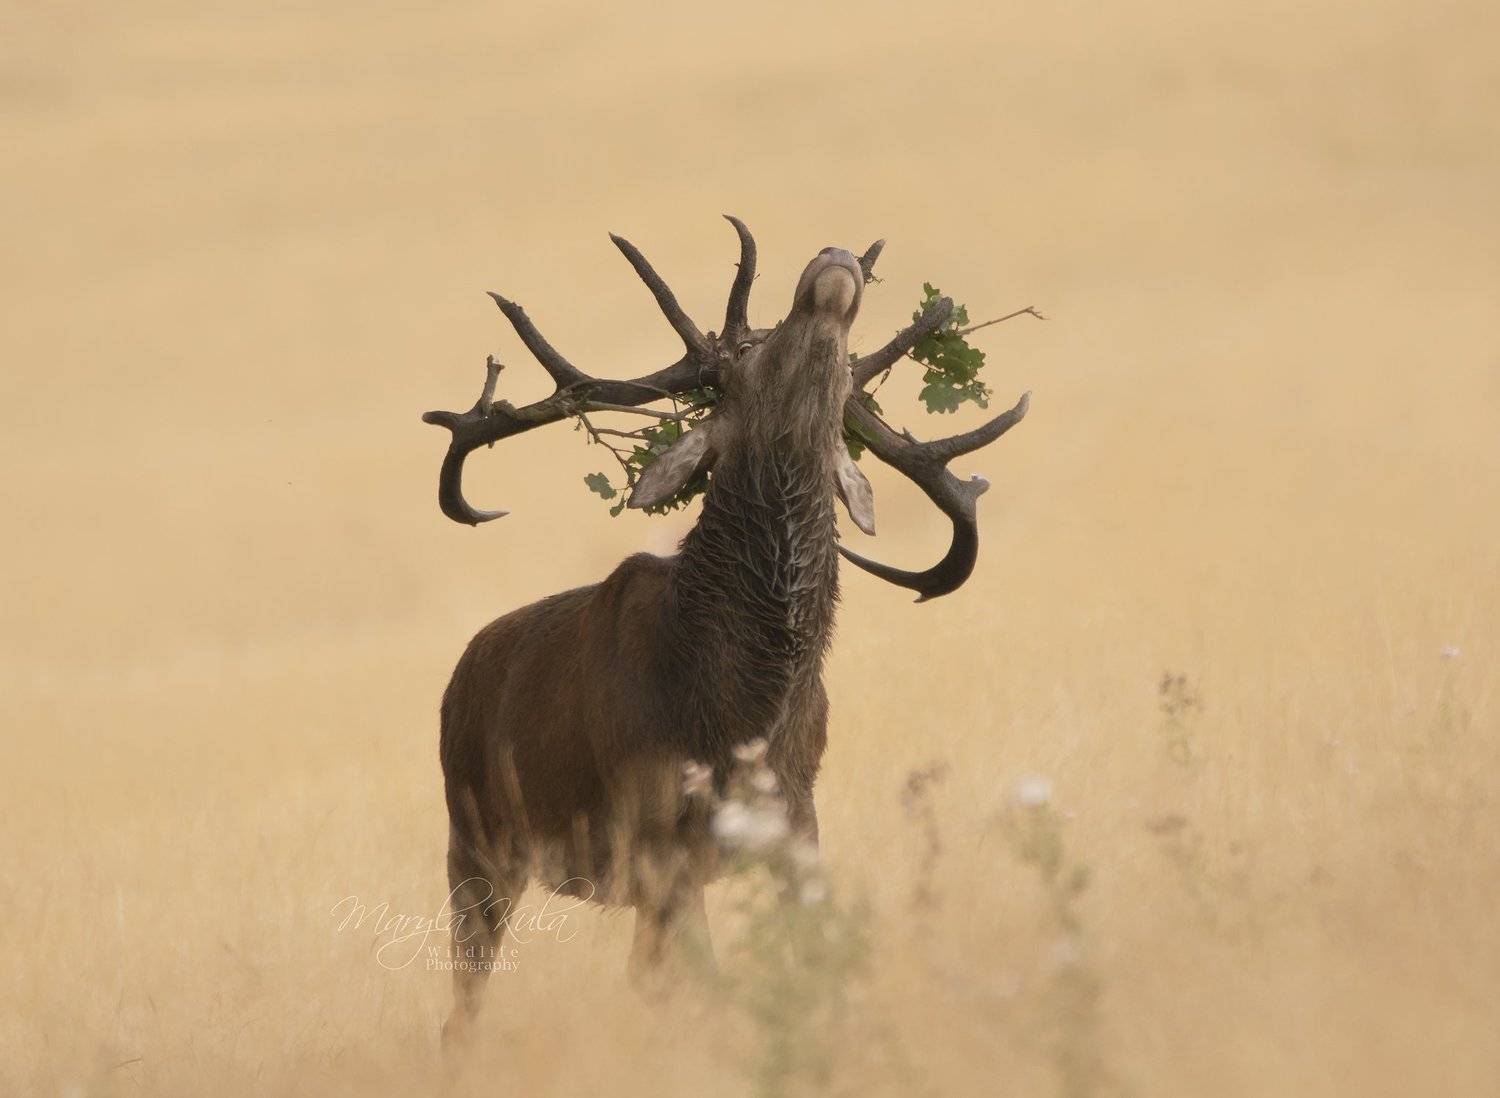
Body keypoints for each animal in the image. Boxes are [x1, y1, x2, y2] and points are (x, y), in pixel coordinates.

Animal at [421, 217, 1030, 1048]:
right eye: (744, 359)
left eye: (845, 385)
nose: (833, 263)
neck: (743, 707)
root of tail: (457, 681)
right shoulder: (651, 828)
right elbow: (694, 983)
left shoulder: (796, 826)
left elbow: (808, 957)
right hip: (475, 838)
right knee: (466, 1002)